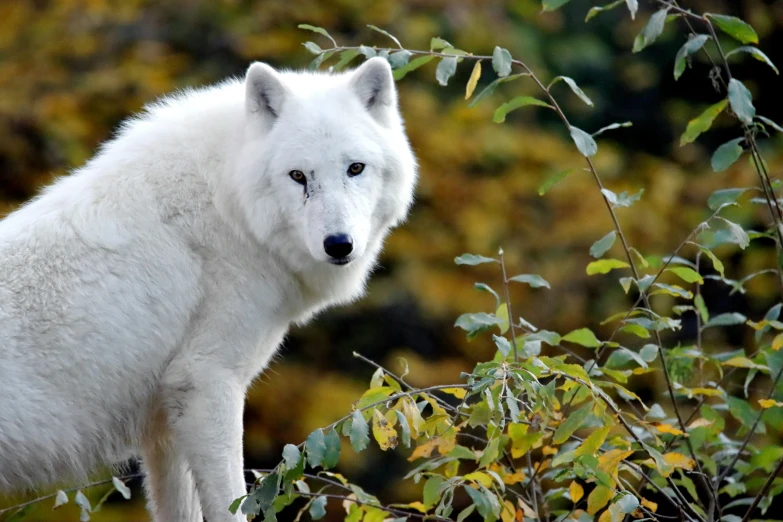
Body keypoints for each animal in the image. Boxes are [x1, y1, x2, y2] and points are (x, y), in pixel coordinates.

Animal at [0, 58, 416, 520]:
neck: (228, 208)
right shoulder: (206, 384)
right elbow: (228, 505)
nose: (339, 244)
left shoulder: (163, 428)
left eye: (355, 168)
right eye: (298, 176)